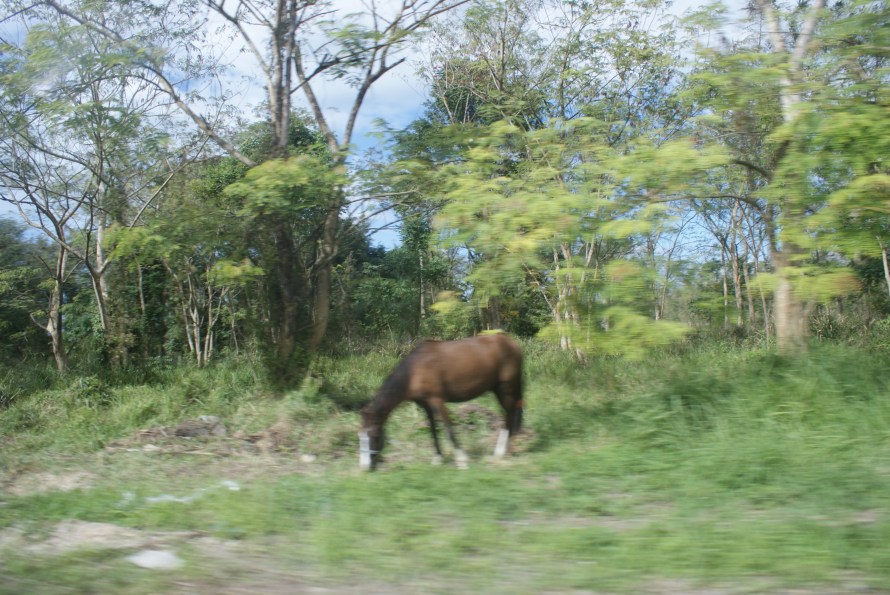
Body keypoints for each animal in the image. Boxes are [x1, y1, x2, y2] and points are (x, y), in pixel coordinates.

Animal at [358, 333, 524, 471]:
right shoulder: (426, 405)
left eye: (374, 435)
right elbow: (433, 430)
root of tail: (512, 343)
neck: (415, 371)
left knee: (509, 414)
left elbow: (448, 428)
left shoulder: (437, 400)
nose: (365, 467)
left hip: (506, 388)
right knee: (511, 413)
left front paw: (461, 460)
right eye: (359, 436)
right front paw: (438, 458)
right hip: (498, 389)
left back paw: (499, 452)